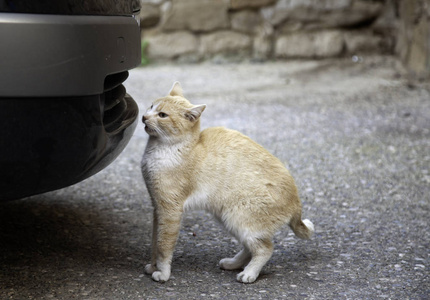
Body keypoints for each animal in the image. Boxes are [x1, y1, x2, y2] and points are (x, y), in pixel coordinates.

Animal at [143, 82, 314, 284]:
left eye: (162, 115)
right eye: (151, 106)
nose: (144, 117)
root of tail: (296, 202)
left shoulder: (169, 211)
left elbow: (163, 245)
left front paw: (162, 273)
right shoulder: (157, 209)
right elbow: (154, 242)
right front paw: (152, 266)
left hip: (238, 219)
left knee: (265, 248)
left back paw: (249, 273)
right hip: (227, 218)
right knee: (250, 248)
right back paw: (233, 264)